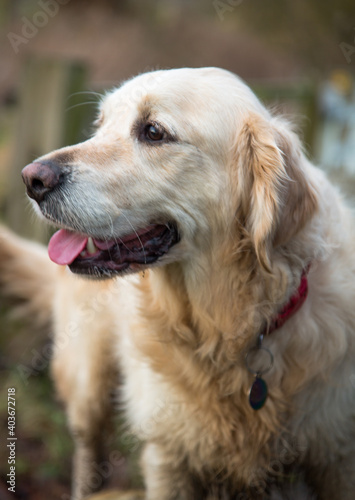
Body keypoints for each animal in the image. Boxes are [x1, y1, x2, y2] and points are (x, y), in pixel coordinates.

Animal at [0, 67, 355, 500]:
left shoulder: (336, 455)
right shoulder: (166, 456)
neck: (224, 329)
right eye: (100, 126)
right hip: (87, 379)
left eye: (154, 131)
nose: (31, 178)